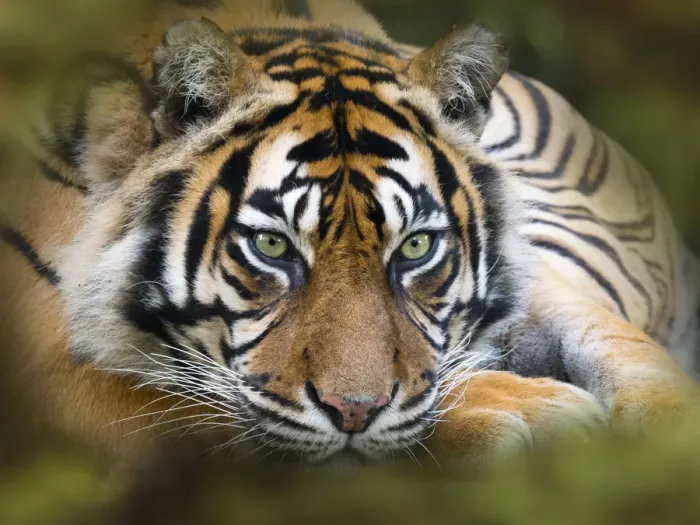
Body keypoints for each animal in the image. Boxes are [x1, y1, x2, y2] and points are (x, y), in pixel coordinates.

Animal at [0, 0, 698, 469]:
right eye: (272, 246)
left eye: (416, 246)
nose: (355, 410)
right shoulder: (52, 364)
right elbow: (206, 411)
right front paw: (525, 411)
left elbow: (620, 346)